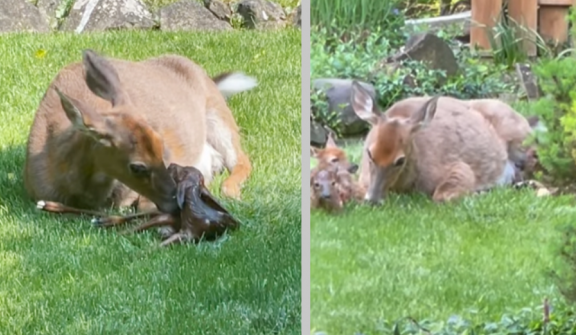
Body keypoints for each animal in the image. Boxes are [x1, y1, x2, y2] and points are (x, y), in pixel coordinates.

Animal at [24, 49, 258, 223]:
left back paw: (229, 190)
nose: (176, 201)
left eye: (162, 149)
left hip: (217, 112)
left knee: (241, 159)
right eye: (137, 167)